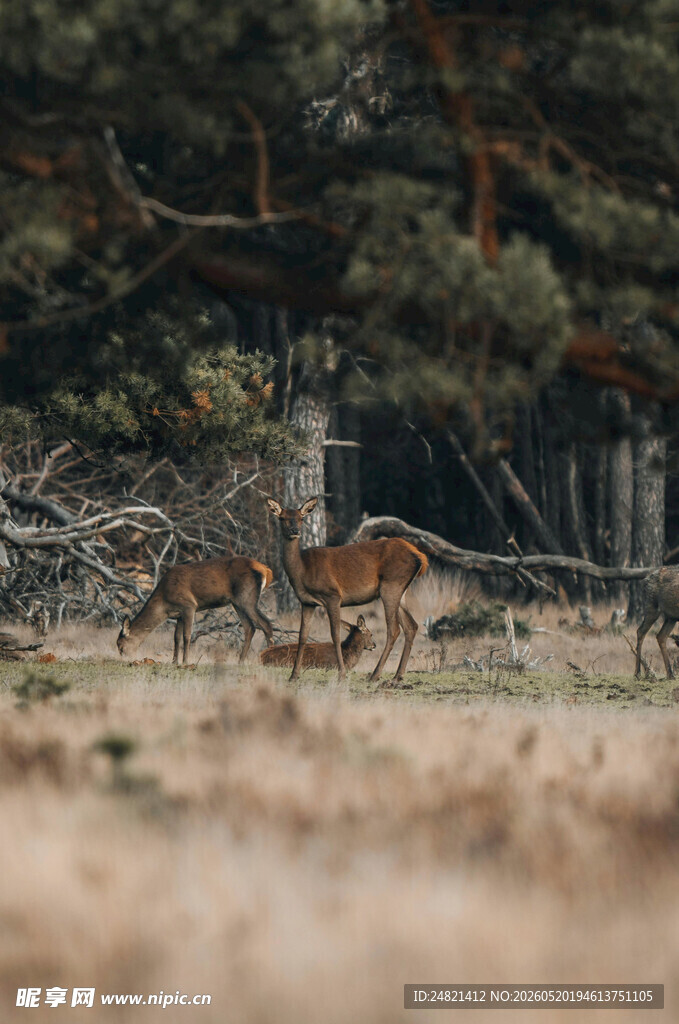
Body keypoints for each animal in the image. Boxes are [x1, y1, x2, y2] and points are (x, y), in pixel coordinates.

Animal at [117, 556, 274, 665]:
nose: (124, 658)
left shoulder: (189, 606)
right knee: (250, 627)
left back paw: (269, 659)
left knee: (266, 623)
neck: (164, 602)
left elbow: (187, 636)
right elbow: (176, 637)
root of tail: (266, 570)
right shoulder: (178, 614)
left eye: (120, 645)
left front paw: (185, 661)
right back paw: (240, 661)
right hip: (237, 602)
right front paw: (174, 661)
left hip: (247, 598)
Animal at [267, 496, 428, 684]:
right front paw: (293, 675)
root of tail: (420, 557)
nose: (295, 530)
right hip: (401, 591)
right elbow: (302, 636)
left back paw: (375, 675)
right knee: (412, 626)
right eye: (282, 518)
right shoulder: (307, 602)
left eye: (301, 518)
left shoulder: (332, 596)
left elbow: (335, 635)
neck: (302, 571)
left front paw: (341, 674)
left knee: (394, 630)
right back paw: (398, 675)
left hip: (391, 586)